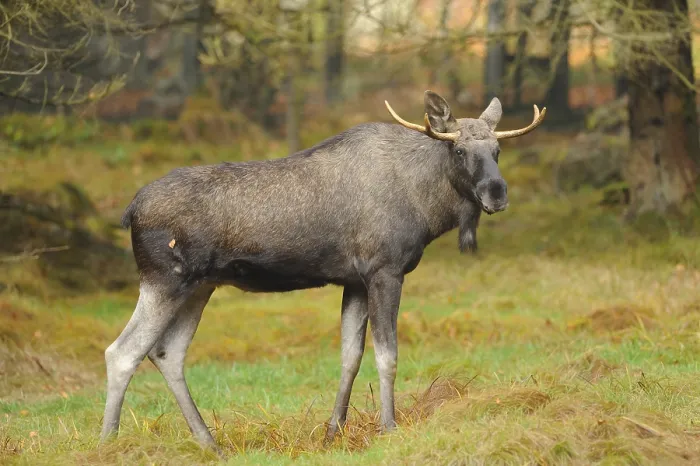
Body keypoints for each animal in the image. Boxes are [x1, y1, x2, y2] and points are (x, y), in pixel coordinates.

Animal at [100, 90, 546, 452]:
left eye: (498, 150)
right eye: (459, 152)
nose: (496, 192)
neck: (427, 206)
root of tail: (130, 212)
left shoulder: (354, 281)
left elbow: (350, 356)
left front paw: (334, 431)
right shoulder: (385, 271)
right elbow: (388, 355)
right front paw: (389, 428)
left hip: (200, 286)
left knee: (167, 353)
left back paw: (209, 442)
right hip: (163, 280)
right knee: (123, 352)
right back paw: (108, 442)